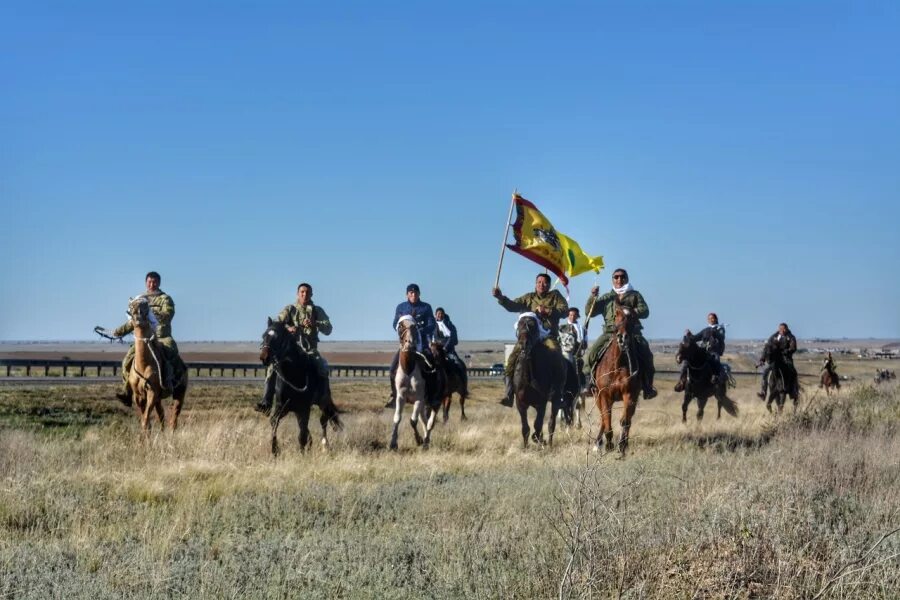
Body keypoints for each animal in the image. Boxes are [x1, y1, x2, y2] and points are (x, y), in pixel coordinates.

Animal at [125, 298, 186, 436]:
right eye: (131, 307)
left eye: (146, 306)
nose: (137, 315)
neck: (144, 364)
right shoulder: (138, 396)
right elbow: (145, 420)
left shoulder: (152, 393)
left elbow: (145, 420)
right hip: (159, 398)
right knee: (161, 415)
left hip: (179, 392)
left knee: (174, 416)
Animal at [262, 318, 346, 454]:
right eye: (264, 336)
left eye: (278, 337)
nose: (264, 357)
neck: (293, 374)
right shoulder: (282, 407)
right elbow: (274, 422)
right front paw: (274, 449)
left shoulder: (304, 408)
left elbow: (302, 434)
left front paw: (302, 452)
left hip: (322, 402)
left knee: (323, 420)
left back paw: (324, 445)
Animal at [510, 314, 568, 446]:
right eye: (519, 325)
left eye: (532, 326)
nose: (524, 343)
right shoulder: (520, 403)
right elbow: (525, 428)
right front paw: (526, 446)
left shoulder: (541, 403)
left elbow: (538, 425)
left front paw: (540, 439)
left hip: (556, 399)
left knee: (551, 423)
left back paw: (549, 444)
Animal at [596, 304, 644, 454]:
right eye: (616, 314)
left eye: (633, 316)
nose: (623, 338)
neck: (617, 366)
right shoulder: (604, 395)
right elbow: (606, 419)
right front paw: (609, 445)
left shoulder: (630, 394)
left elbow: (625, 421)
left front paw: (621, 446)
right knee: (602, 418)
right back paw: (598, 443)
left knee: (628, 420)